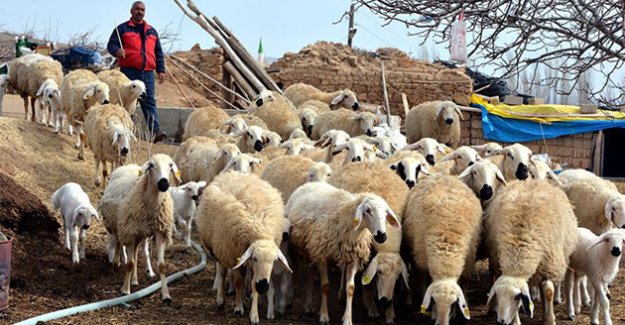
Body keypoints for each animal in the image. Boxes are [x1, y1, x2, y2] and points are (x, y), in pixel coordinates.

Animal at [196, 171, 292, 322]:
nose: (263, 286)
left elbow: (252, 283)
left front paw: (254, 314)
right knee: (222, 272)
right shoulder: (235, 254)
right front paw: (238, 307)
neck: (260, 233)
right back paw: (221, 300)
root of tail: (234, 173)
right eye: (256, 258)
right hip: (222, 248)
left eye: (273, 261)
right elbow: (239, 282)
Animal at [284, 181, 398, 322]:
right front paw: (324, 316)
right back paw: (289, 300)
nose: (382, 236)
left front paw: (347, 319)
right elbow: (325, 286)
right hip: (296, 246)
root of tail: (310, 183)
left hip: (311, 248)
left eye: (386, 212)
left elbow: (351, 288)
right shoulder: (322, 256)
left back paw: (308, 307)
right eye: (367, 210)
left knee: (310, 273)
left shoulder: (353, 259)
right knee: (294, 270)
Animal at [326, 161, 410, 322]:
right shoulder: (364, 250)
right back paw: (341, 293)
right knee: (344, 267)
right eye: (379, 273)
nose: (385, 301)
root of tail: (365, 162)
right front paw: (371, 307)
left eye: (397, 276)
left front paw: (390, 313)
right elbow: (367, 281)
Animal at [402, 175, 480, 324]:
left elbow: (464, 285)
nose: (442, 323)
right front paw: (433, 313)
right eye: (433, 301)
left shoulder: (468, 261)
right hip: (415, 252)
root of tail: (441, 175)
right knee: (415, 276)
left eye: (454, 303)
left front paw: (461, 315)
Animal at [486, 180, 576, 324]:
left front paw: (550, 320)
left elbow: (548, 292)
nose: (501, 321)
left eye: (516, 297)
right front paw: (516, 322)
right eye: (498, 296)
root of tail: (530, 181)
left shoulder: (548, 264)